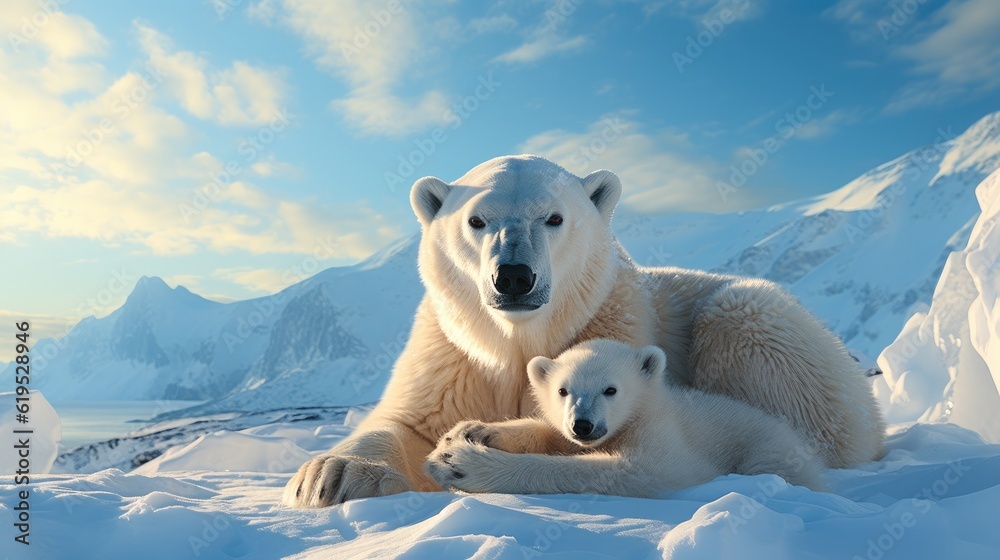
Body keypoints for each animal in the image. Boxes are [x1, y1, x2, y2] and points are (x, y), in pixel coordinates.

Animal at [426, 340, 824, 496]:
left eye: (611, 389)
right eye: (563, 390)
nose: (583, 425)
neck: (648, 407)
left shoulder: (664, 436)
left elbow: (639, 471)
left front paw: (460, 463)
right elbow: (551, 434)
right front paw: (469, 432)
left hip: (769, 448)